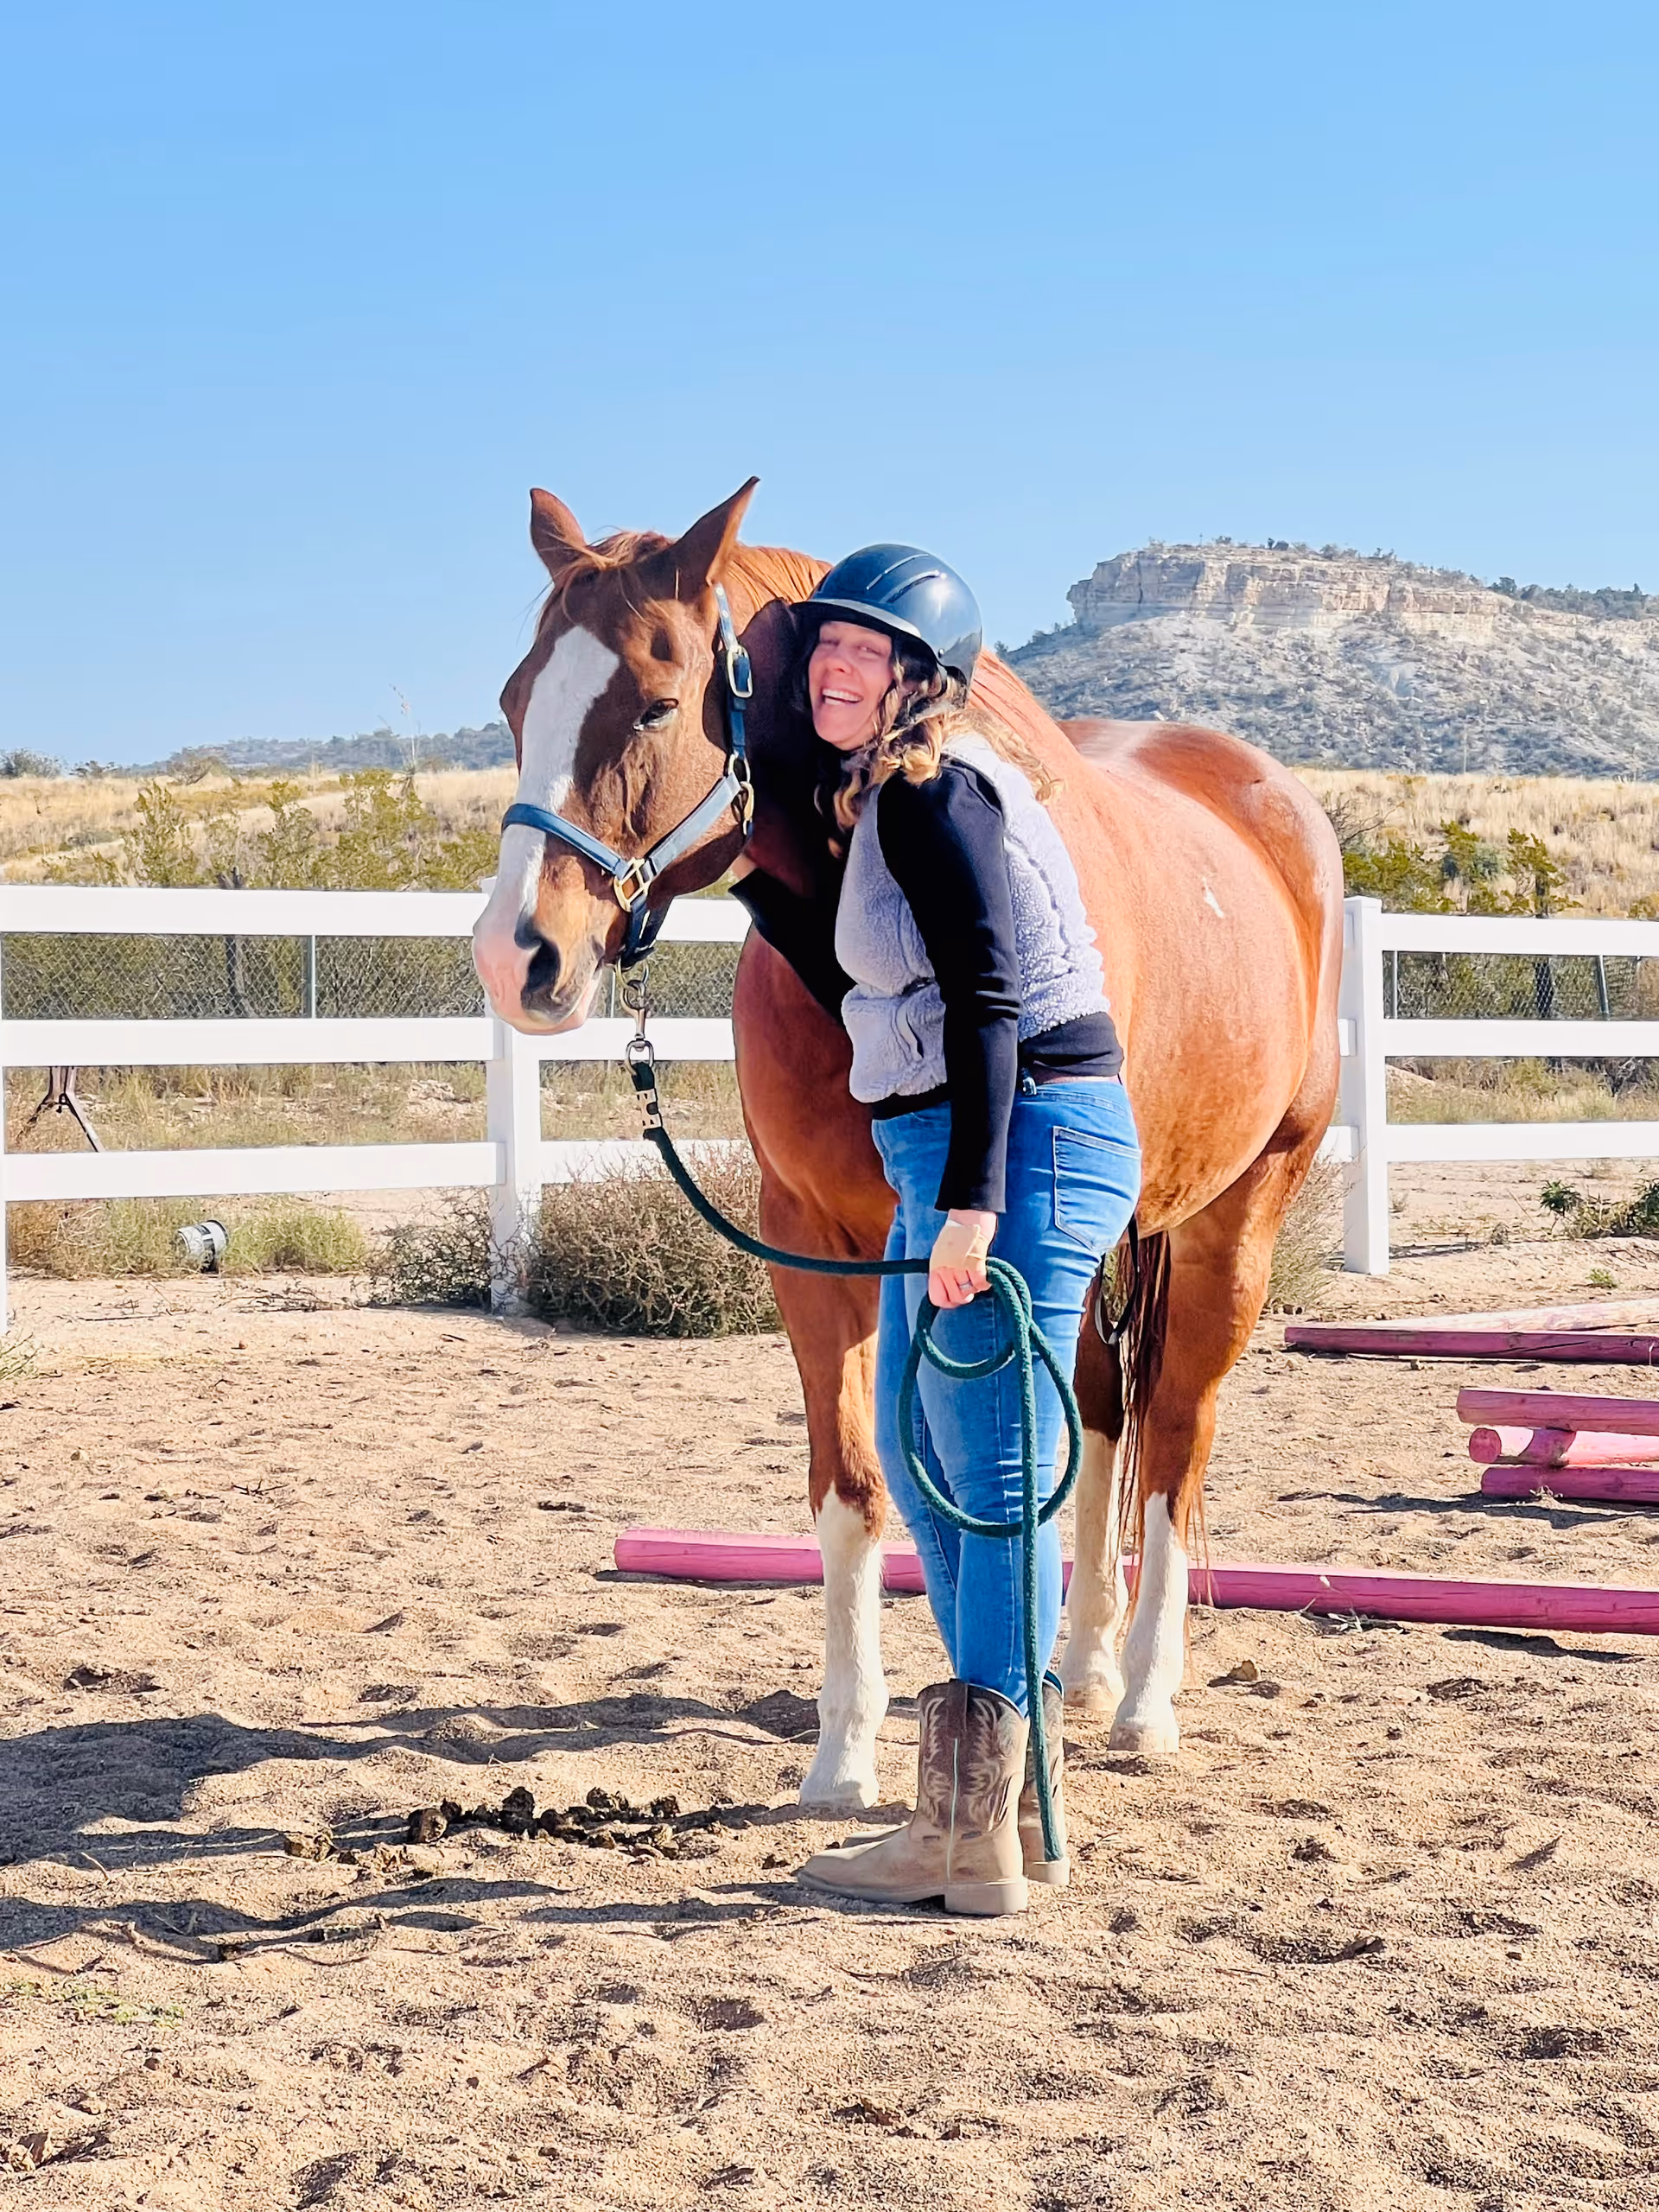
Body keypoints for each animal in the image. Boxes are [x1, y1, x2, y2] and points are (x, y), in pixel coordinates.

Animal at [473, 480, 1343, 1808]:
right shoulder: (816, 1243)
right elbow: (857, 1490)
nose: (516, 957)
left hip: (1234, 1215)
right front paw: (845, 1752)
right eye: (517, 700)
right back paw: (1086, 1659)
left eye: (659, 701)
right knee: (1104, 1415)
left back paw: (1143, 1698)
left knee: (1177, 1437)